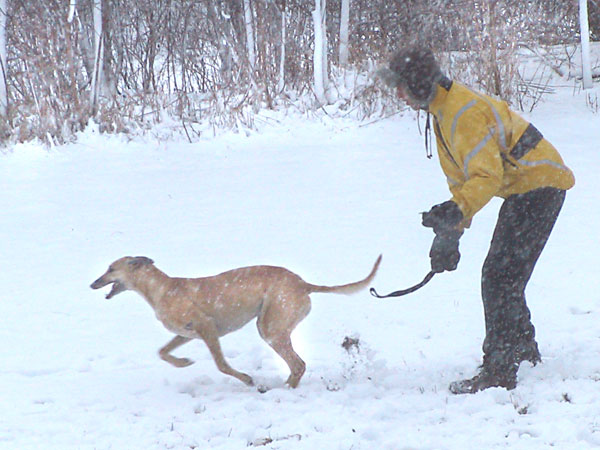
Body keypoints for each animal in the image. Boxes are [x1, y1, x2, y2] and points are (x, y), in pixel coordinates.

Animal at [90, 255, 381, 388]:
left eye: (111, 268)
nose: (92, 284)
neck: (161, 289)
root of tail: (303, 284)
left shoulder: (207, 328)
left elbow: (221, 364)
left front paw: (247, 379)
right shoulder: (185, 333)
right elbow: (163, 352)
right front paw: (183, 362)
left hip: (269, 328)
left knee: (299, 365)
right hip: (275, 326)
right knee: (297, 365)